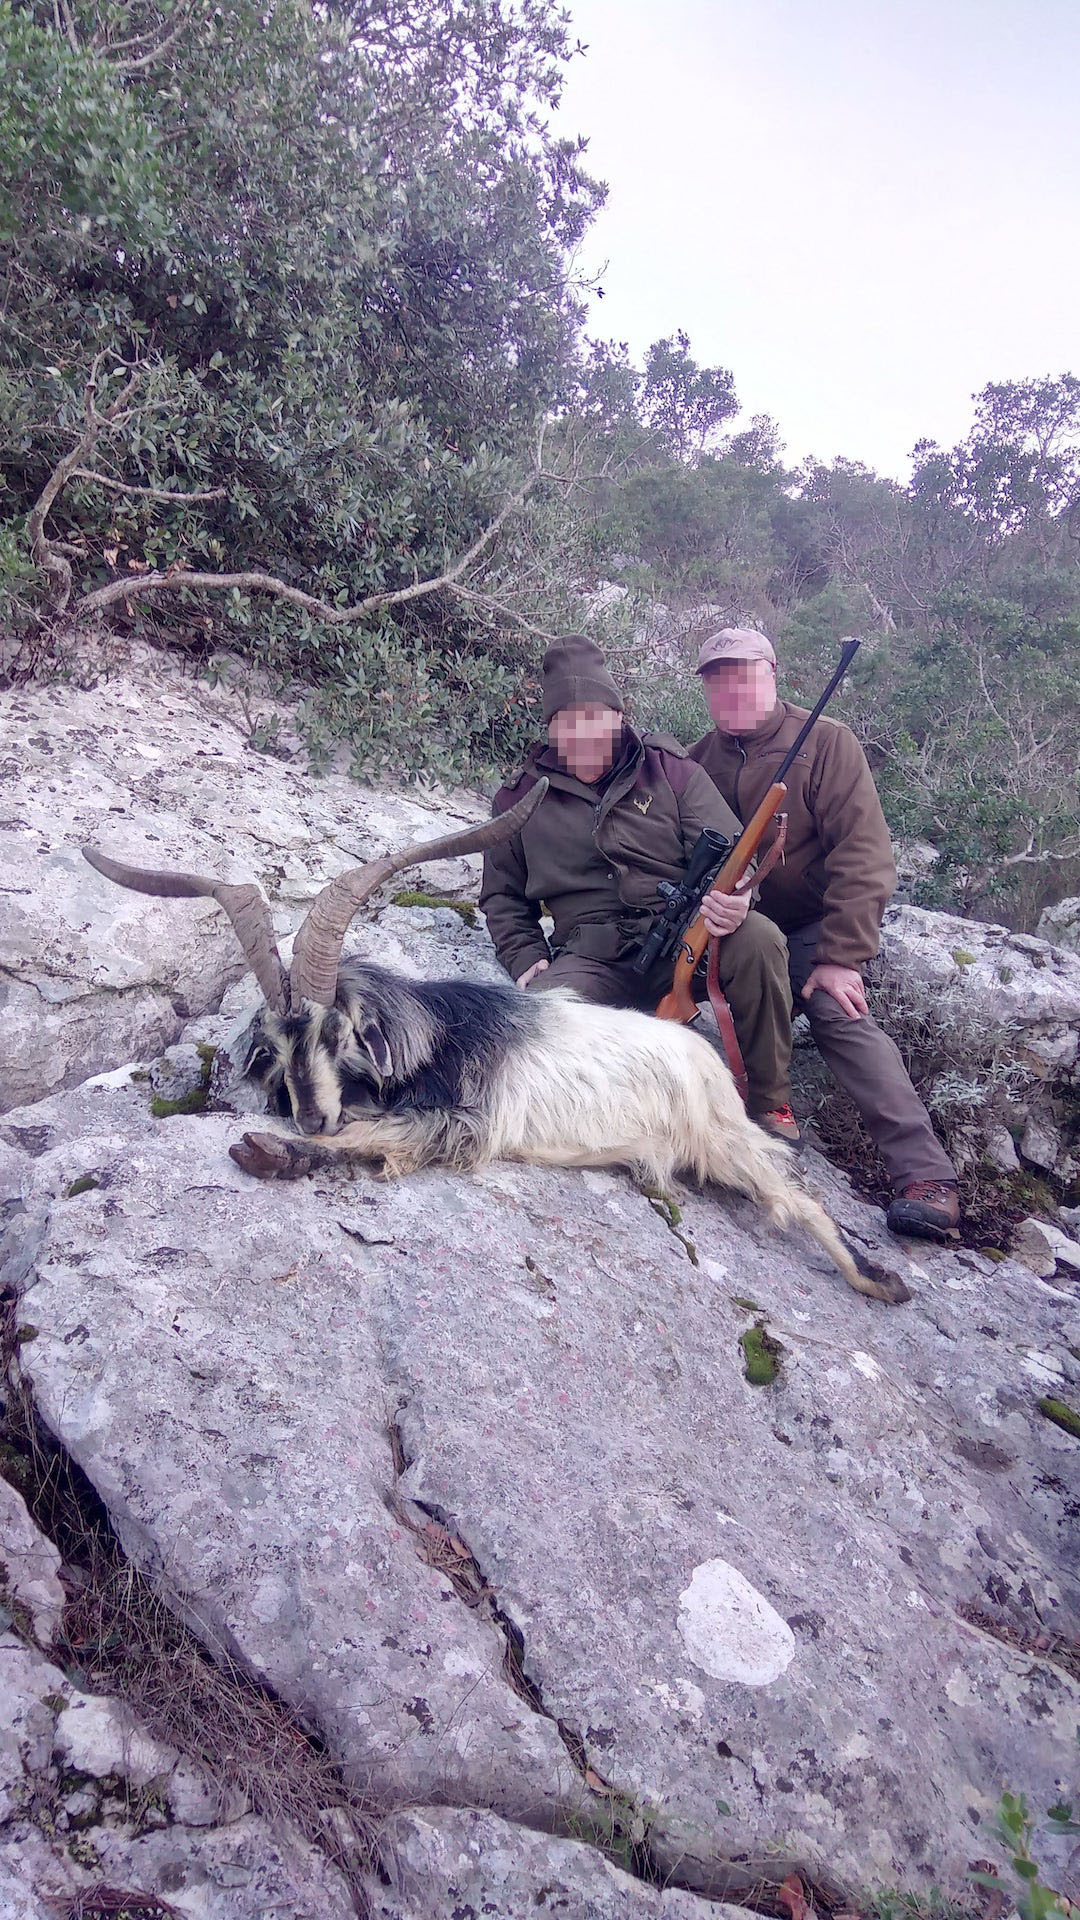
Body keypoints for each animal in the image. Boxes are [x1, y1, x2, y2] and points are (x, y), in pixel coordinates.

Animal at [82, 790, 909, 1304]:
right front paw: (284, 1145)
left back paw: (879, 1279)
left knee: (799, 1202)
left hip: (724, 1140)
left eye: (336, 1032)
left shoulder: (466, 1121)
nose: (308, 1117)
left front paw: (276, 1152)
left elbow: (380, 1135)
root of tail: (709, 1062)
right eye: (278, 1046)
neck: (434, 1032)